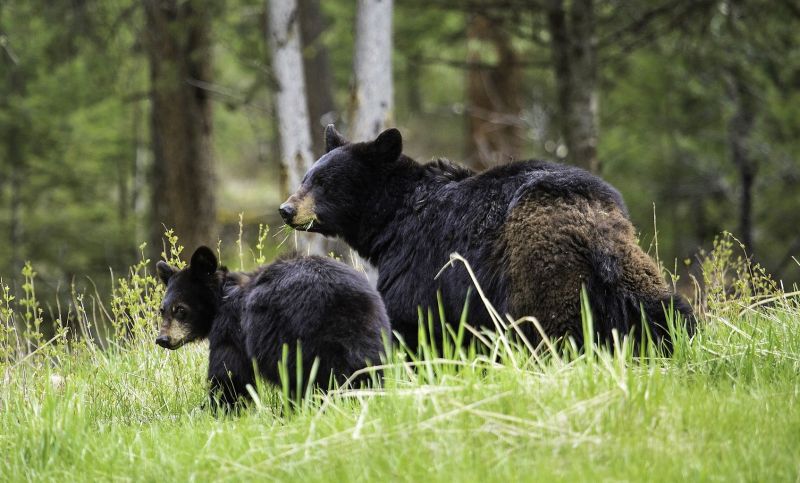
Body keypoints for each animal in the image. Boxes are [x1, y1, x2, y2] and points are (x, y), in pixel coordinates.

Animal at [155, 248, 390, 410]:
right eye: (162, 310)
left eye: (180, 309)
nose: (162, 339)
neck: (223, 296)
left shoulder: (232, 328)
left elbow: (229, 374)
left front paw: (214, 409)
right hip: (372, 333)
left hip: (296, 338)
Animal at [280, 125, 692, 352]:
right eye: (306, 177)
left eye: (324, 182)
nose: (286, 209)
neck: (393, 219)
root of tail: (592, 227)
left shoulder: (420, 260)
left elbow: (410, 319)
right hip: (631, 271)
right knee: (664, 311)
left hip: (541, 272)